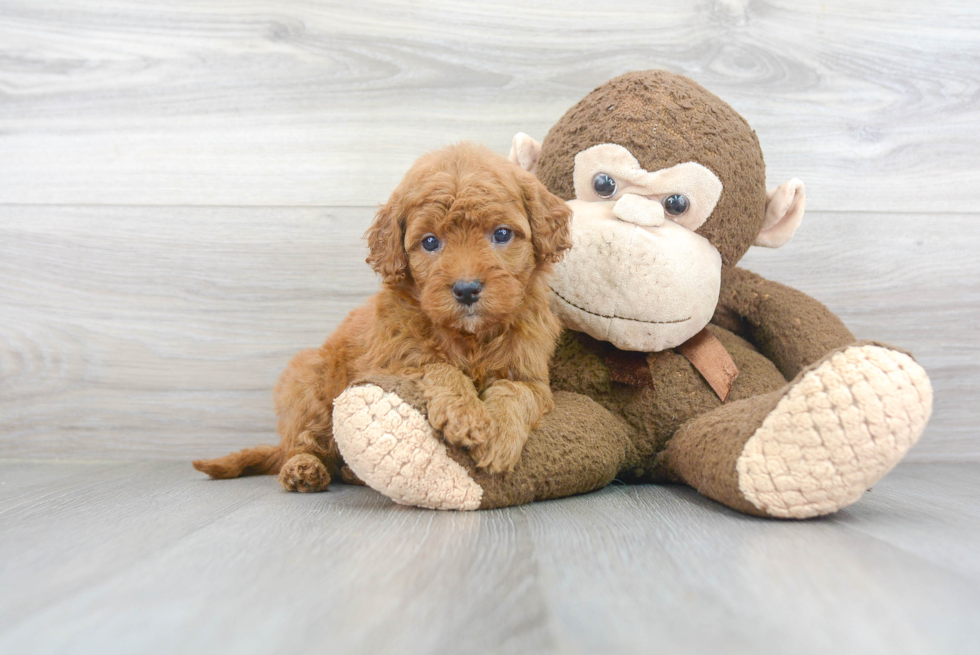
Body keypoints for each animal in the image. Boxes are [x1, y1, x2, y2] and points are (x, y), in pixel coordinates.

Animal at [193, 144, 576, 492]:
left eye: (502, 234)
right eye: (430, 242)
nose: (467, 290)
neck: (469, 337)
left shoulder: (531, 376)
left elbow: (516, 392)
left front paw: (499, 435)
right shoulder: (392, 362)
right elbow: (438, 367)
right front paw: (464, 413)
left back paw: (350, 473)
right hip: (308, 382)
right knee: (304, 442)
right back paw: (303, 469)